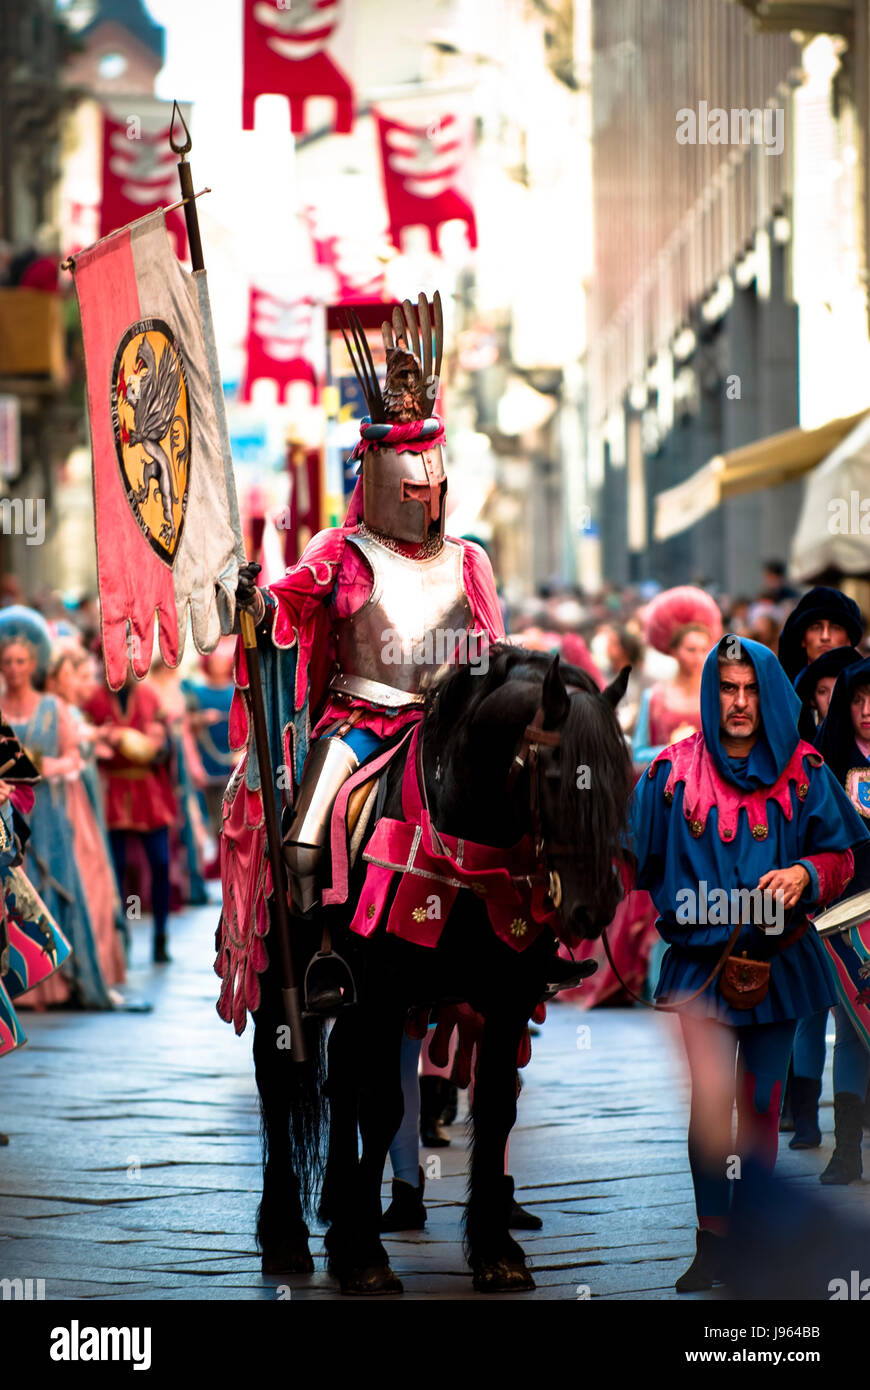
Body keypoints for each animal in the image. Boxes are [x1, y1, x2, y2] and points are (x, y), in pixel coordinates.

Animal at [247, 644, 625, 1295]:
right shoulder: (383, 993)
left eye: (624, 779)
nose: (592, 908)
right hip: (284, 977)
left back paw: (338, 1221)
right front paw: (367, 1258)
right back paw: (288, 1236)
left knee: (338, 1079)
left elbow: (496, 1107)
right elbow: (383, 1108)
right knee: (278, 1079)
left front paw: (496, 1251)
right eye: (558, 778)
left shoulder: (506, 999)